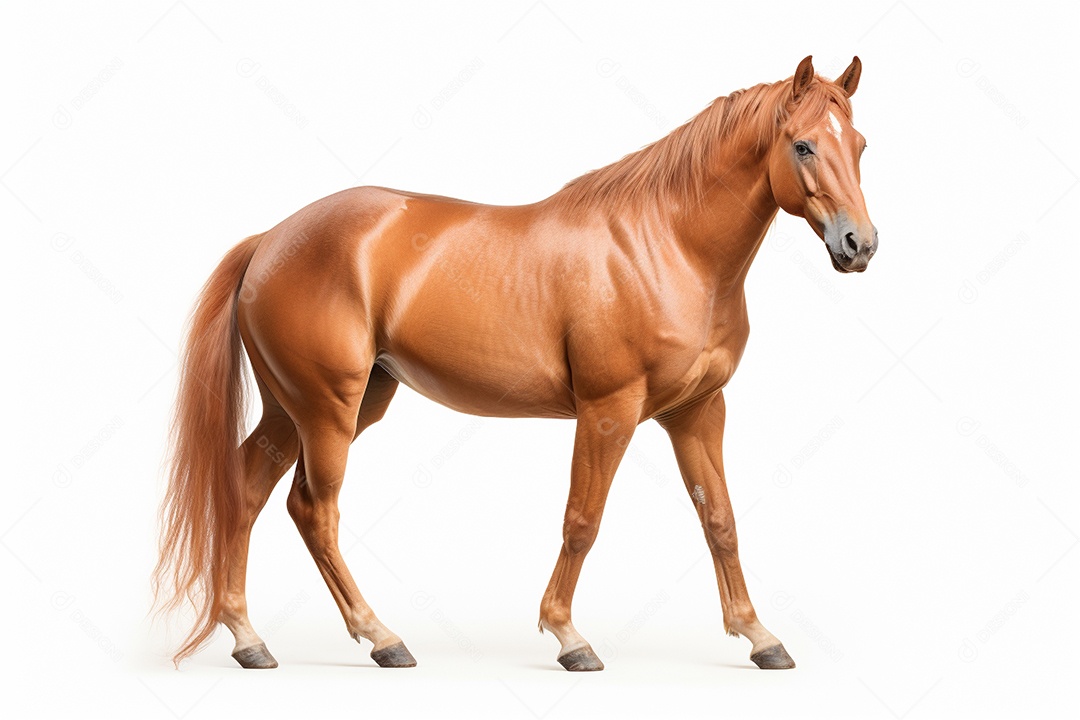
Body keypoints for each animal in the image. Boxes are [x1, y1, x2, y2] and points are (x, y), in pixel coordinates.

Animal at [155, 55, 877, 672]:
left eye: (861, 145)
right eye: (804, 145)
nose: (859, 244)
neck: (665, 244)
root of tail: (270, 240)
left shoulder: (698, 411)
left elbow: (720, 521)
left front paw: (760, 637)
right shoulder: (609, 410)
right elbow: (583, 520)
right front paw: (568, 637)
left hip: (307, 409)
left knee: (247, 489)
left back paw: (249, 639)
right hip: (327, 410)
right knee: (314, 510)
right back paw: (382, 638)